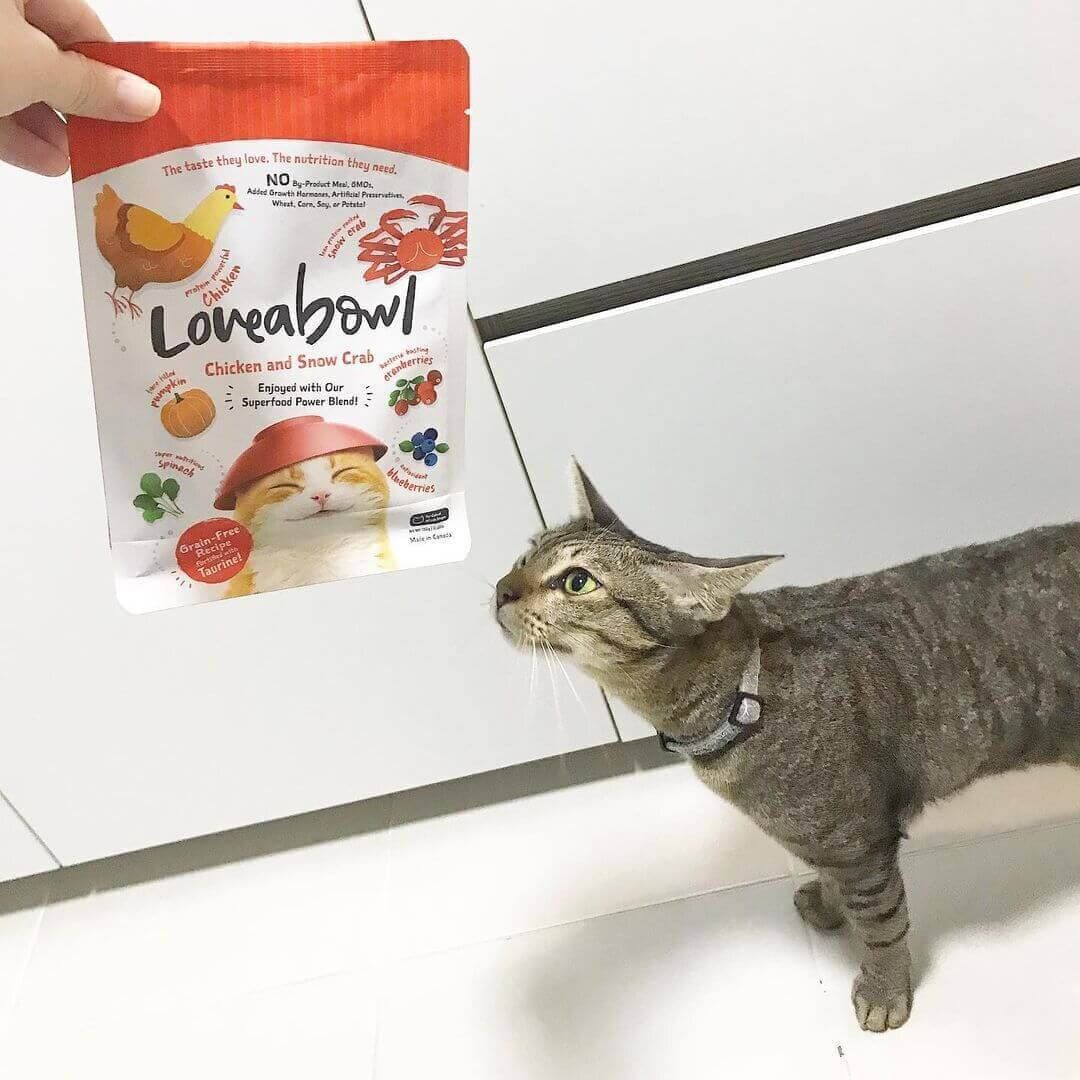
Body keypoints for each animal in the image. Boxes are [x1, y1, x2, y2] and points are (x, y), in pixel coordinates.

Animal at [494, 460, 1080, 1033]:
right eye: (527, 553)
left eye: (577, 582)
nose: (502, 589)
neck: (740, 695)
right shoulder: (827, 841)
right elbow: (834, 884)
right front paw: (826, 905)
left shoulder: (859, 844)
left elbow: (882, 926)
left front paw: (884, 990)